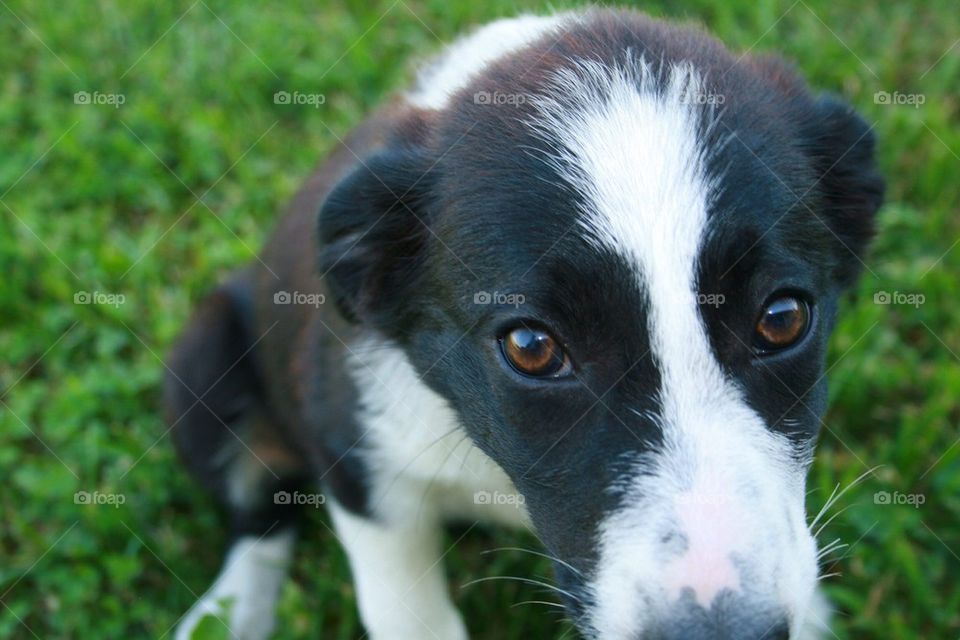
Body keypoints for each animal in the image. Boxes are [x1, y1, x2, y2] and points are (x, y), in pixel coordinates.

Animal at [163, 6, 876, 640]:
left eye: (782, 318)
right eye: (532, 347)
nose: (723, 631)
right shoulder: (357, 462)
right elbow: (408, 616)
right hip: (199, 368)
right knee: (258, 517)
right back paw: (229, 613)